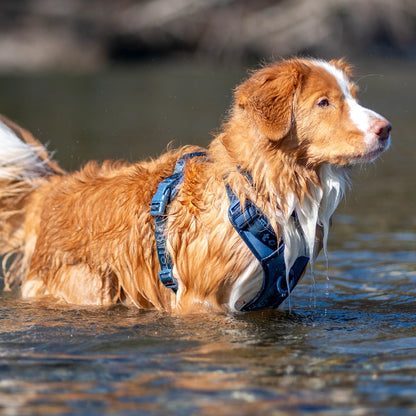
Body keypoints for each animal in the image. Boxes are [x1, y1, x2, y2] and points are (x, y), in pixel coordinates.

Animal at [0, 57, 390, 312]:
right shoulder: (200, 301)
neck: (260, 187)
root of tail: (54, 188)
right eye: (324, 102)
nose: (385, 128)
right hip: (92, 287)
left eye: (354, 97)